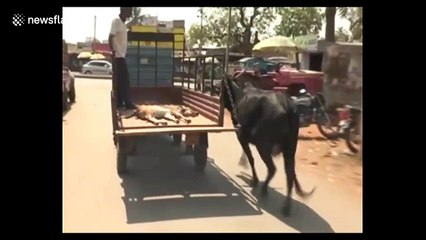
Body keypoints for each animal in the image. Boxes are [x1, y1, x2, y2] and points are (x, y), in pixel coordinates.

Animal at [221, 73, 314, 216]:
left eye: (222, 88)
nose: (219, 99)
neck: (239, 96)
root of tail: (287, 105)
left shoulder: (241, 136)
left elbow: (250, 158)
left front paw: (253, 179)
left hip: (263, 146)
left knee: (272, 169)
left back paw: (264, 188)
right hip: (290, 148)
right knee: (290, 173)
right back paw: (286, 207)